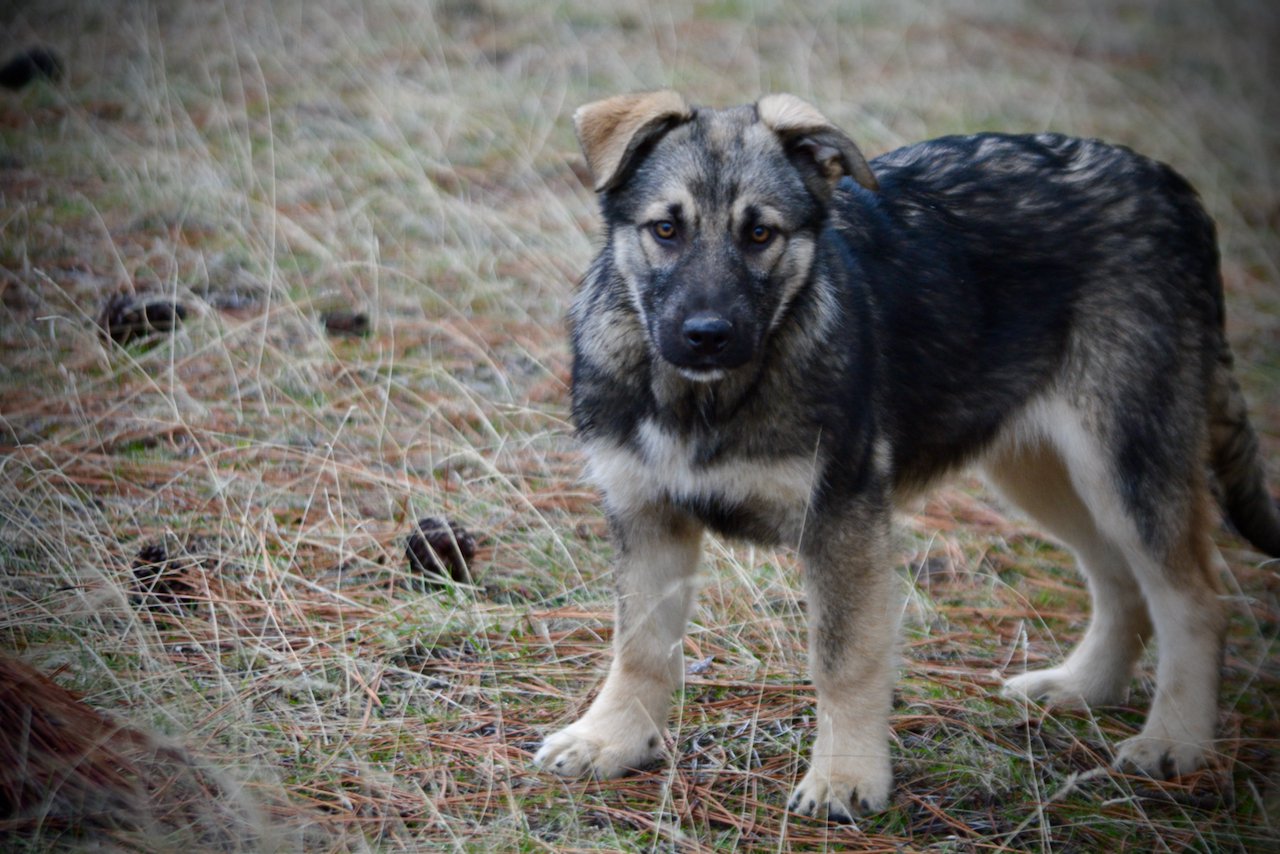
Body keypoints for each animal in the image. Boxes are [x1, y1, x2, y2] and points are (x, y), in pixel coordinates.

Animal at [532, 92, 1280, 819]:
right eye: (666, 230)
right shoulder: (646, 514)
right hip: (1043, 470)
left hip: (1123, 462)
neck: (707, 399)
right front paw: (612, 740)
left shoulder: (843, 520)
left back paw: (1175, 741)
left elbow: (843, 661)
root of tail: (1167, 183)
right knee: (1120, 582)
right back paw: (1083, 686)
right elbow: (640, 647)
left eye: (760, 234)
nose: (706, 335)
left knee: (1195, 600)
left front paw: (845, 778)